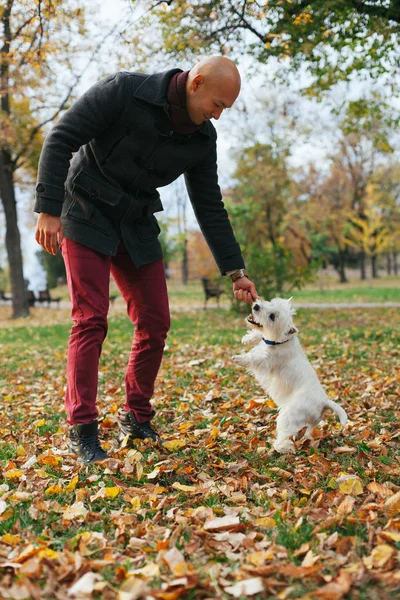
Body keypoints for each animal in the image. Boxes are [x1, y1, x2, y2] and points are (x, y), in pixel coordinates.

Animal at [233, 298, 348, 452]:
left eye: (272, 316)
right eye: (270, 303)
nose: (256, 305)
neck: (281, 341)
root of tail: (324, 402)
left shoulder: (267, 361)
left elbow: (253, 358)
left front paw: (239, 359)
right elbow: (259, 335)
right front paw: (248, 338)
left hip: (288, 416)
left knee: (286, 435)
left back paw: (278, 447)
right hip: (310, 423)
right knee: (307, 432)